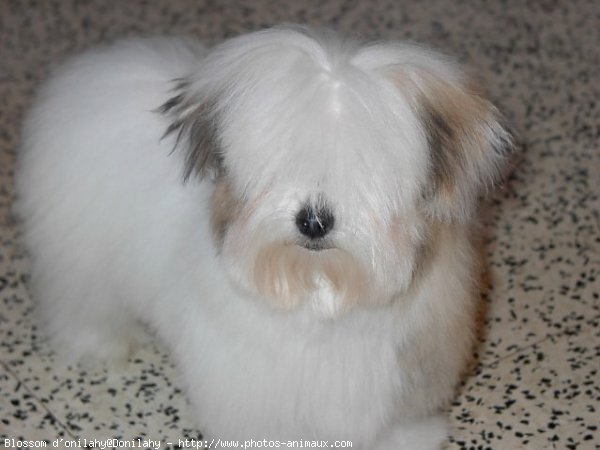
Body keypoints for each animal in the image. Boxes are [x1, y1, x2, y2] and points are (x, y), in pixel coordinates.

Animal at [15, 26, 510, 448]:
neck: (316, 294)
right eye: (280, 166)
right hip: (78, 254)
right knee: (81, 301)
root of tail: (96, 72)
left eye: (363, 174)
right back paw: (101, 345)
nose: (313, 220)